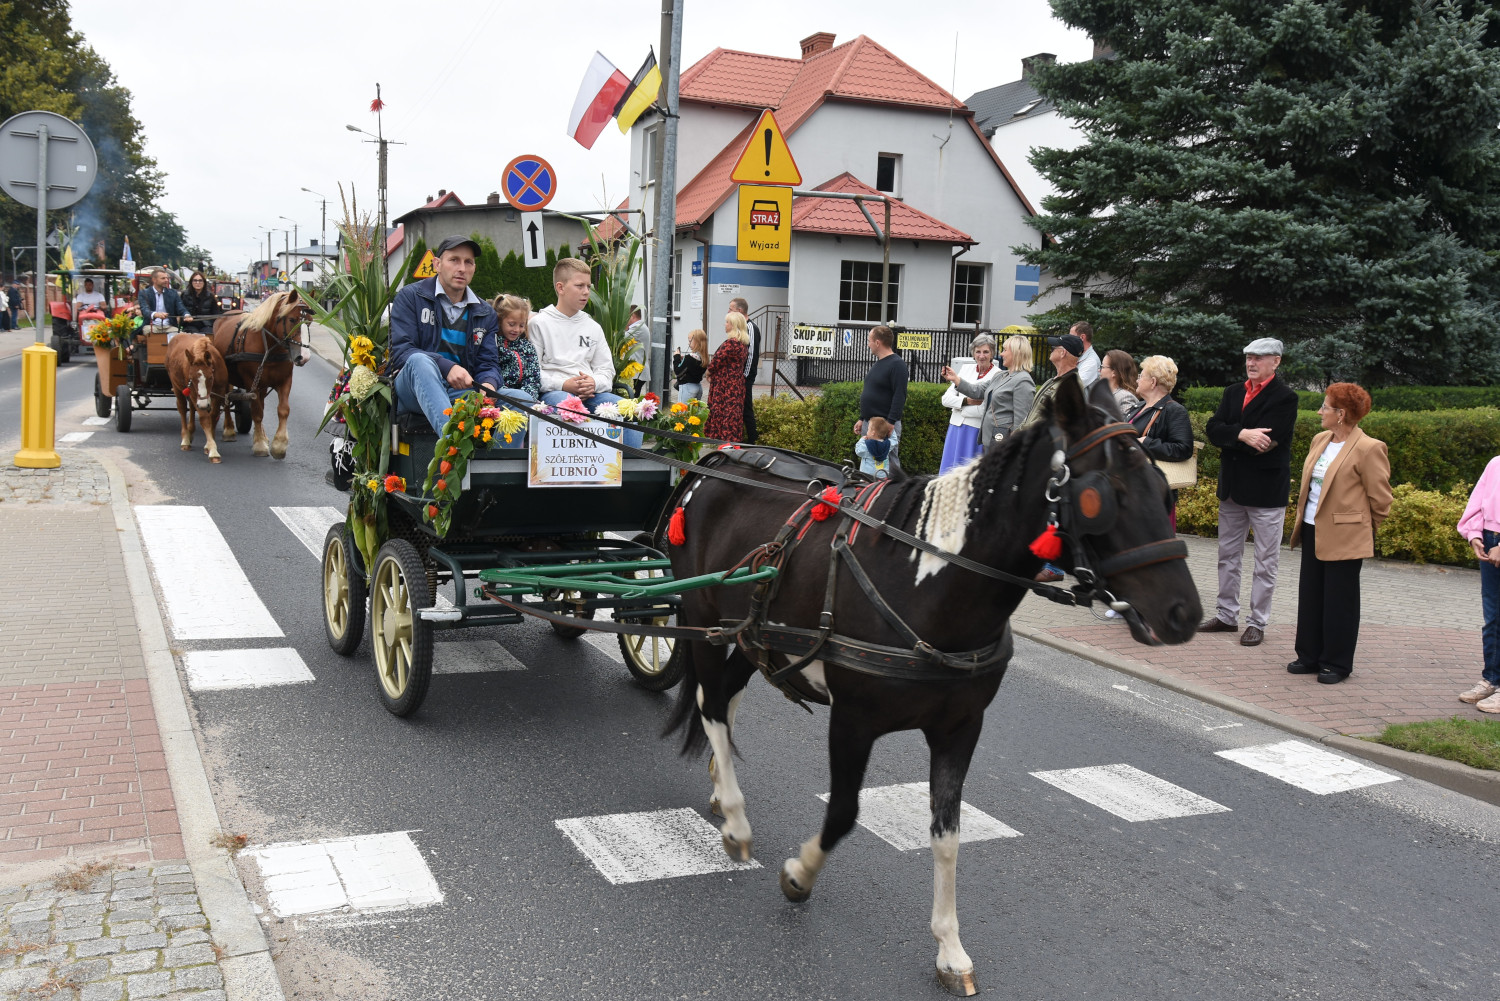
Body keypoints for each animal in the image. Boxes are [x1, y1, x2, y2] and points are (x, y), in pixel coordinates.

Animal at [165, 334, 229, 463]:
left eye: (210, 377)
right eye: (191, 378)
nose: (203, 405)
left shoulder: (219, 392)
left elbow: (213, 416)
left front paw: (209, 445)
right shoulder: (194, 393)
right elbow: (205, 419)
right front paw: (213, 450)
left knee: (192, 407)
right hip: (177, 386)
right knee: (182, 408)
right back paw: (186, 438)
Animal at [211, 288, 309, 459]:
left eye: (309, 321)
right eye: (292, 319)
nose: (304, 356)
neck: (270, 347)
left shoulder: (284, 381)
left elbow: (283, 410)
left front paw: (279, 445)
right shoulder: (252, 383)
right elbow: (257, 412)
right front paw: (260, 445)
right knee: (226, 399)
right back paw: (229, 430)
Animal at [662, 373, 1202, 996]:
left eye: (1165, 490)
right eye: (1106, 493)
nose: (1186, 614)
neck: (928, 581)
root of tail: (714, 462)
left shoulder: (959, 728)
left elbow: (947, 835)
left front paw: (950, 948)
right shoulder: (853, 722)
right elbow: (843, 814)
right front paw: (799, 875)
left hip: (753, 637)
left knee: (724, 698)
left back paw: (721, 790)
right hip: (702, 620)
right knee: (711, 703)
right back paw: (734, 814)